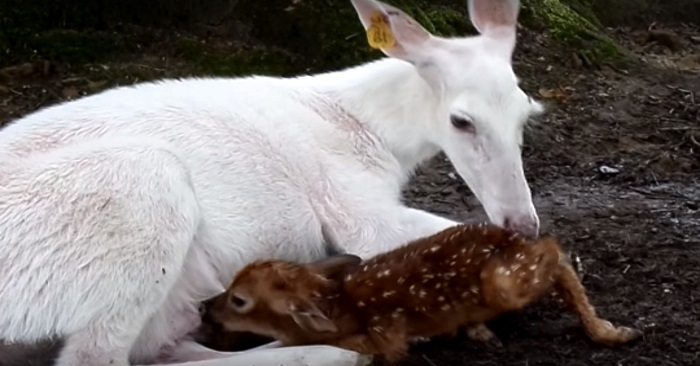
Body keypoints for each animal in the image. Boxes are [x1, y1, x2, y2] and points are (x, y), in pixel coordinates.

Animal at [0, 0, 544, 366]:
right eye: (461, 121)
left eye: (527, 113)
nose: (523, 220)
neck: (370, 130)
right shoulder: (350, 202)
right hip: (142, 188)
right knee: (97, 356)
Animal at [201, 222, 640, 362]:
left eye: (239, 299)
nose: (205, 306)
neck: (340, 307)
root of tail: (510, 237)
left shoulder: (384, 335)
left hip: (505, 279)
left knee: (555, 251)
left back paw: (611, 332)